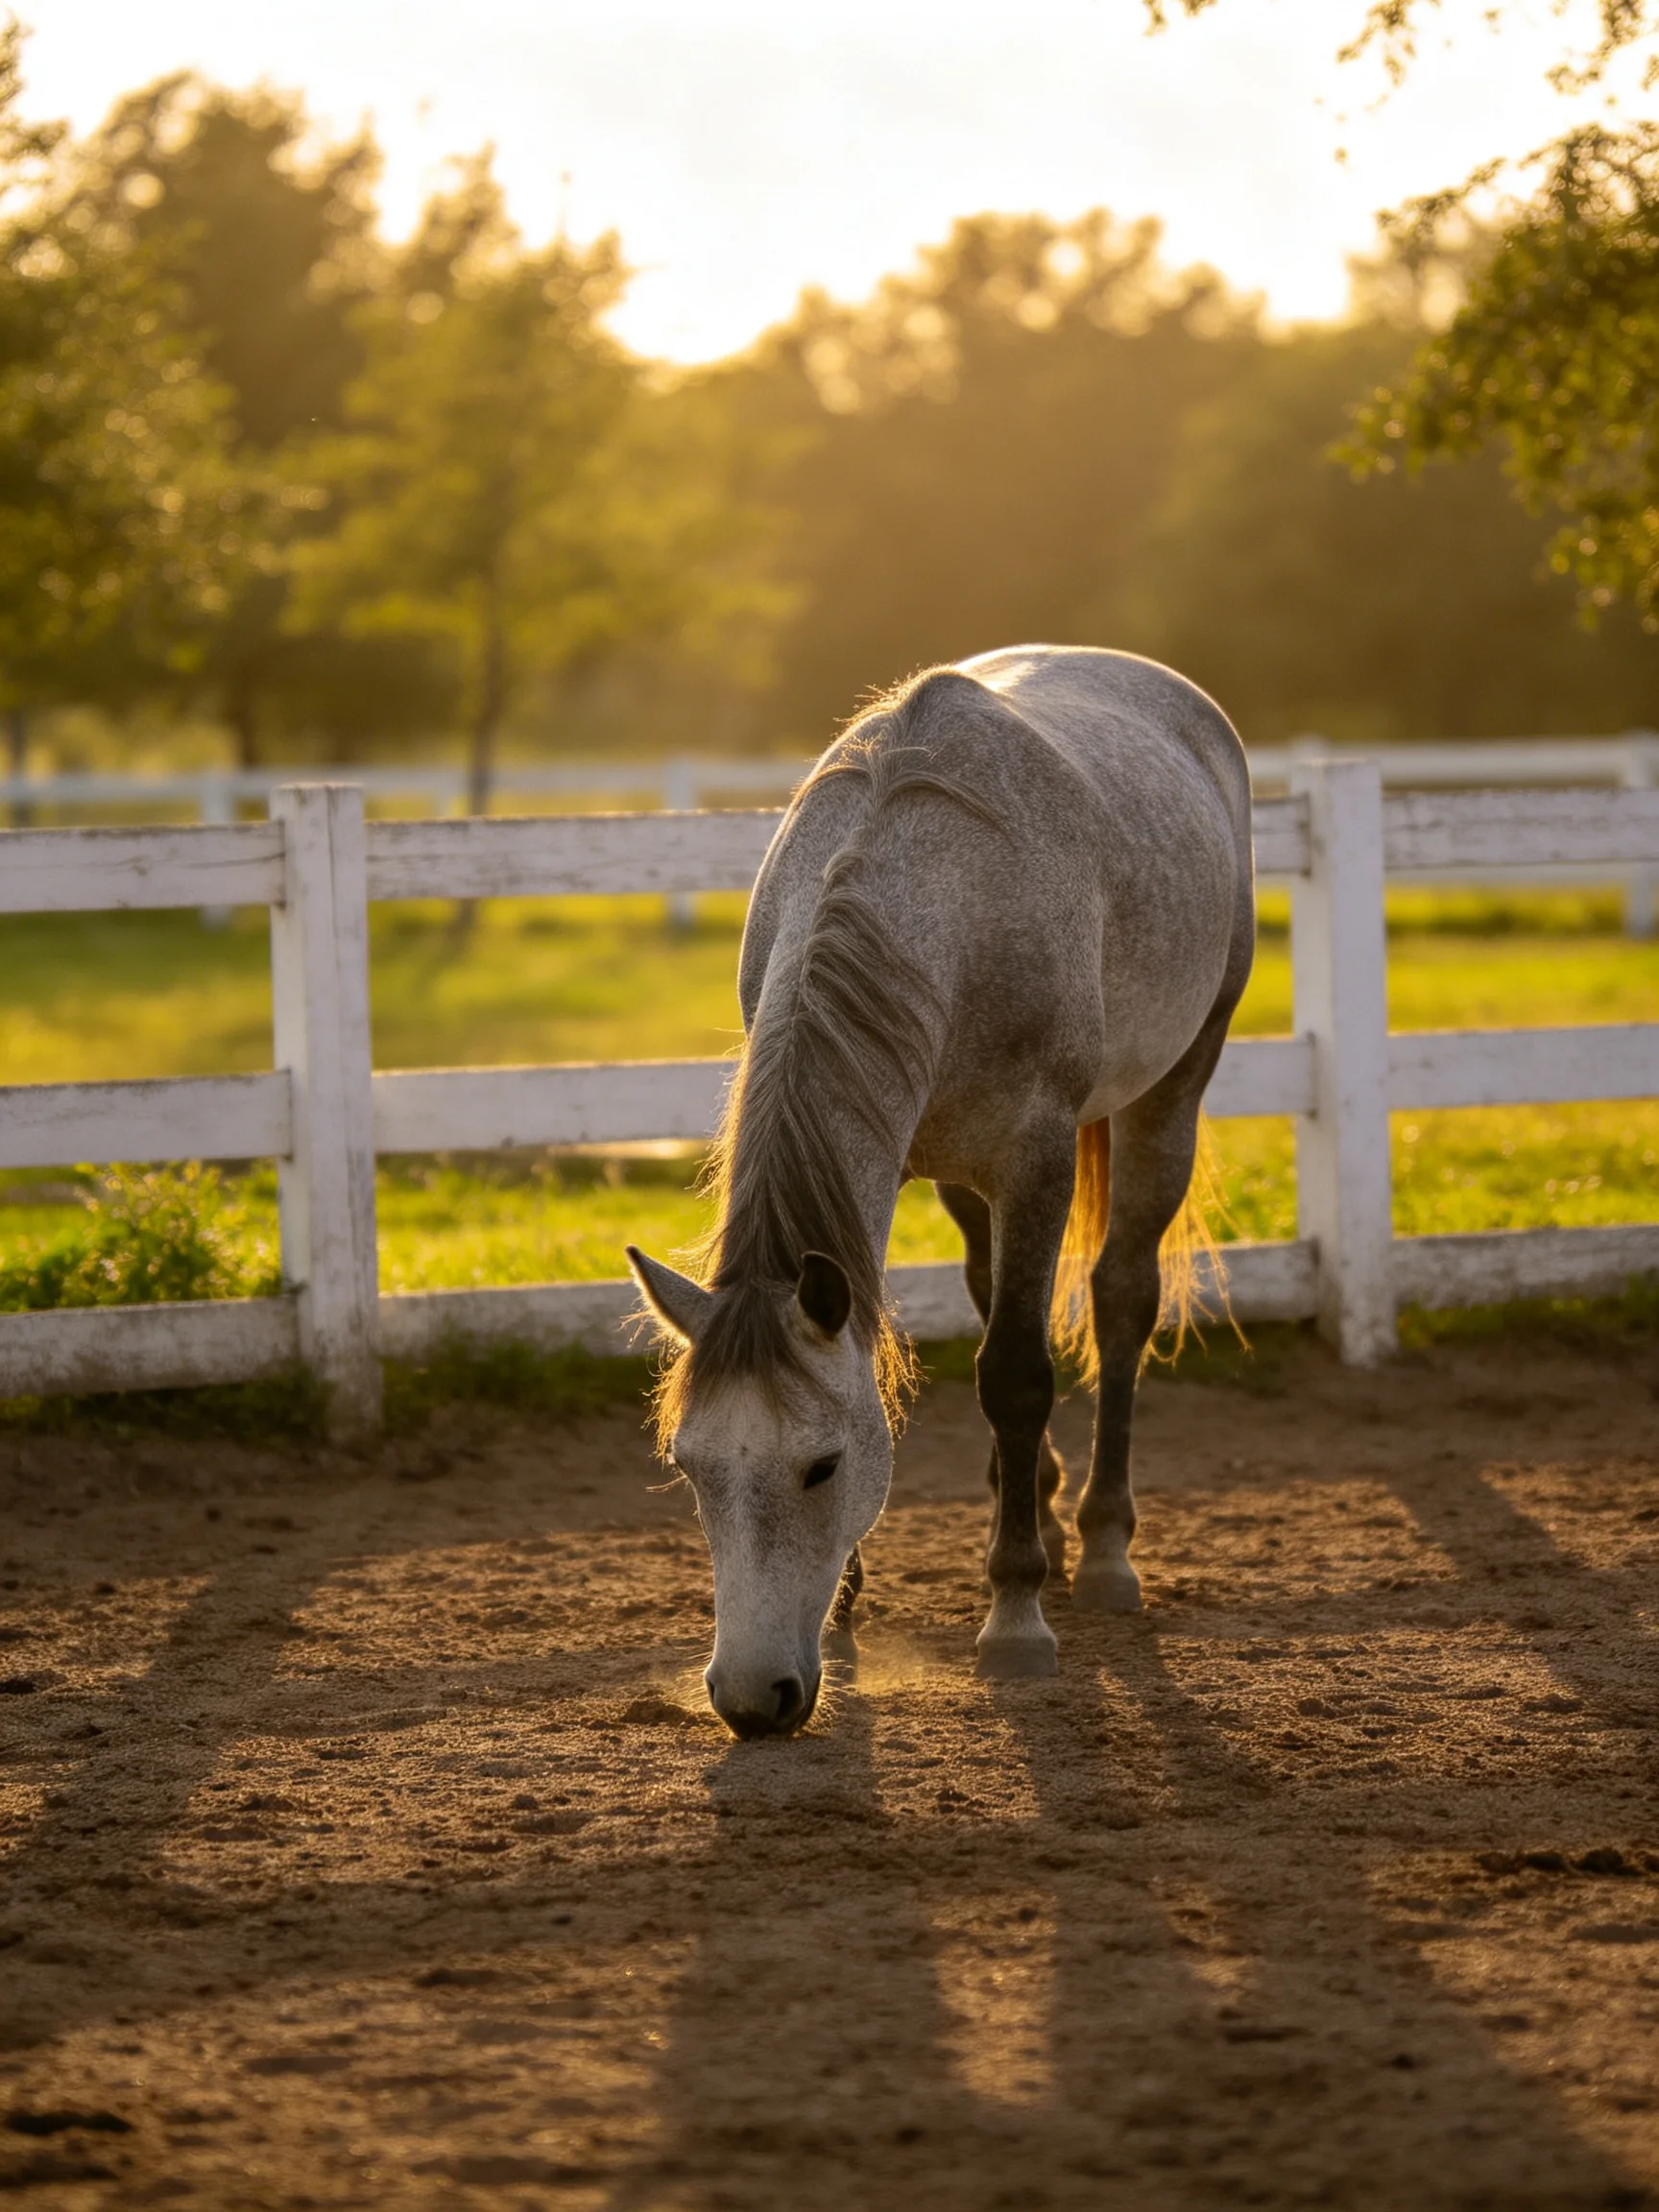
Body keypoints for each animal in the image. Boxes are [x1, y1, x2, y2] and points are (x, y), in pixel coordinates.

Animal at [627, 644, 1254, 1739]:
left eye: (824, 1466)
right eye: (692, 1467)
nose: (750, 1699)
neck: (936, 892)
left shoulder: (1037, 1157)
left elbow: (1016, 1373)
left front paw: (1016, 1616)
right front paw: (848, 1604)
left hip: (1172, 1087)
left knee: (1120, 1298)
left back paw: (1100, 1546)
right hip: (964, 1175)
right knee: (1000, 1289)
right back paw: (1037, 1496)